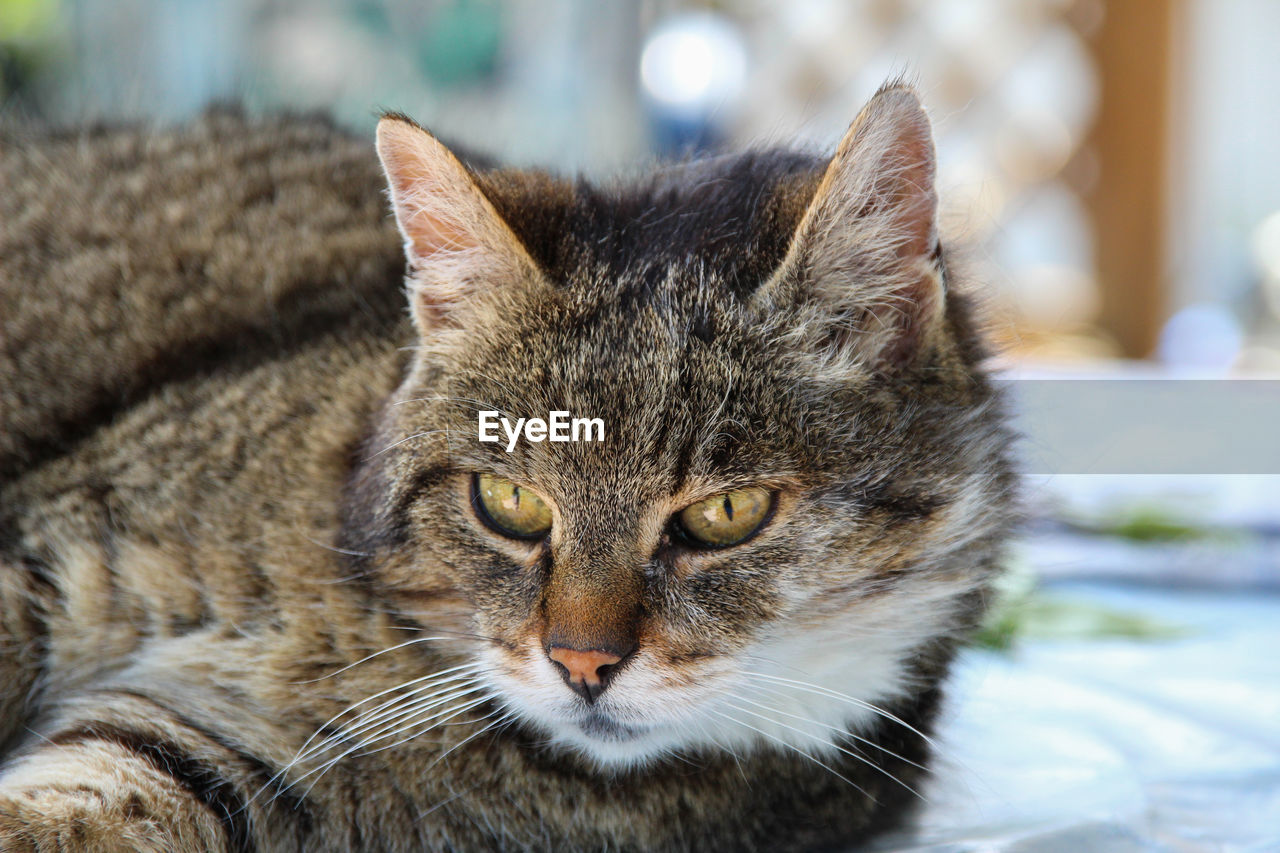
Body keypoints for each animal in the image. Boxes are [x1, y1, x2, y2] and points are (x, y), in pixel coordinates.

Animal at [2, 81, 1018, 850]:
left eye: (726, 515)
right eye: (509, 501)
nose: (580, 662)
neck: (375, 611)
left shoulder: (220, 762)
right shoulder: (49, 554)